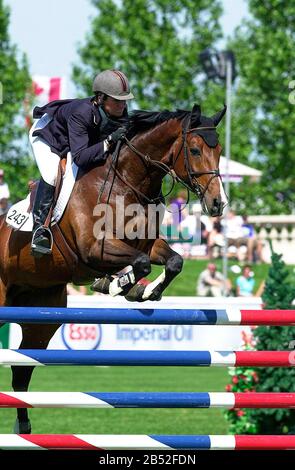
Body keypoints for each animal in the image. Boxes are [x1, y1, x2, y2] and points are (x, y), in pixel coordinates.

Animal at [0, 103, 228, 434]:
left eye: (220, 150)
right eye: (196, 150)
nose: (218, 204)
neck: (128, 181)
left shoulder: (147, 244)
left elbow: (172, 261)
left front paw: (142, 292)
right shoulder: (95, 249)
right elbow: (140, 263)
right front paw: (115, 284)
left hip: (40, 317)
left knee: (22, 370)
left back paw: (24, 427)